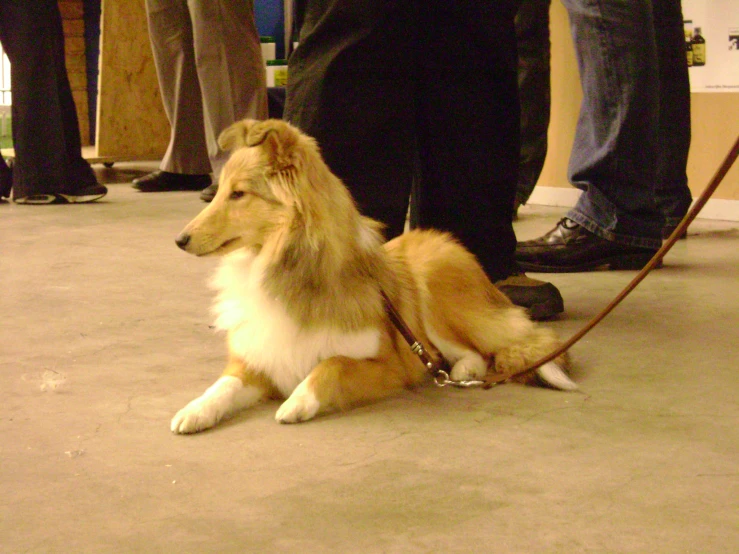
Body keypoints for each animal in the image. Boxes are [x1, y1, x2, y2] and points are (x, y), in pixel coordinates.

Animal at [171, 119, 576, 432]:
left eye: (239, 194)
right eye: (220, 190)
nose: (180, 240)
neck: (284, 270)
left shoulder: (391, 366)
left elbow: (332, 364)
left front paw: (297, 402)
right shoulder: (257, 361)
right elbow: (222, 385)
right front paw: (193, 411)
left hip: (436, 288)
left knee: (484, 347)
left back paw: (462, 370)